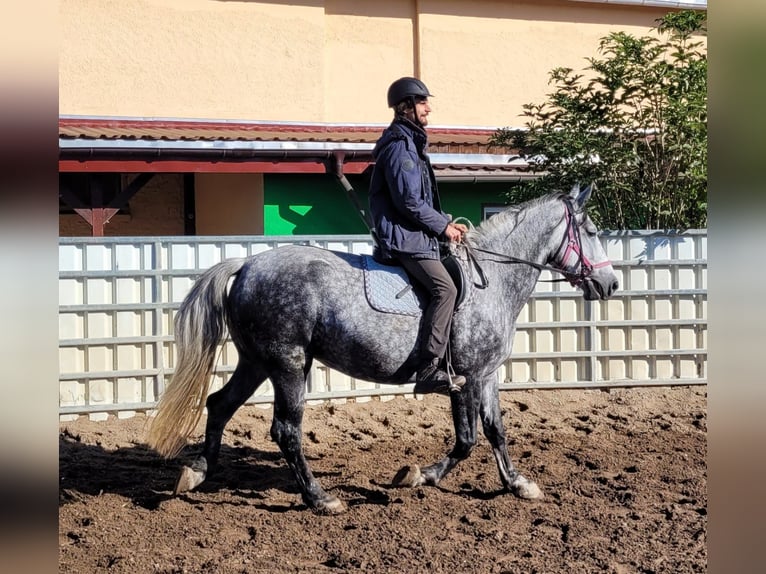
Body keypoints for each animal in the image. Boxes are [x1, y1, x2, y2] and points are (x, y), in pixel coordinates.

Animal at [147, 186, 620, 516]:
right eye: (592, 232)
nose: (611, 284)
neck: (491, 280)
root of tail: (246, 265)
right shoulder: (469, 377)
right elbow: (472, 438)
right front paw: (423, 475)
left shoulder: (480, 377)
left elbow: (489, 433)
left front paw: (513, 483)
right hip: (289, 364)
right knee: (285, 430)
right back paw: (320, 499)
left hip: (257, 362)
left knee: (219, 405)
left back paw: (196, 473)